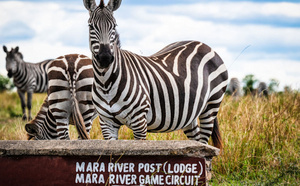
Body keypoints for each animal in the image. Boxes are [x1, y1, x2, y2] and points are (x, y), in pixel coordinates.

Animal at [83, 0, 229, 148]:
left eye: (114, 26)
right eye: (91, 26)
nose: (105, 58)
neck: (106, 83)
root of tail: (205, 45)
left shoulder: (139, 121)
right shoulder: (107, 123)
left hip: (211, 106)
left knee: (205, 141)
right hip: (190, 113)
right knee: (197, 140)